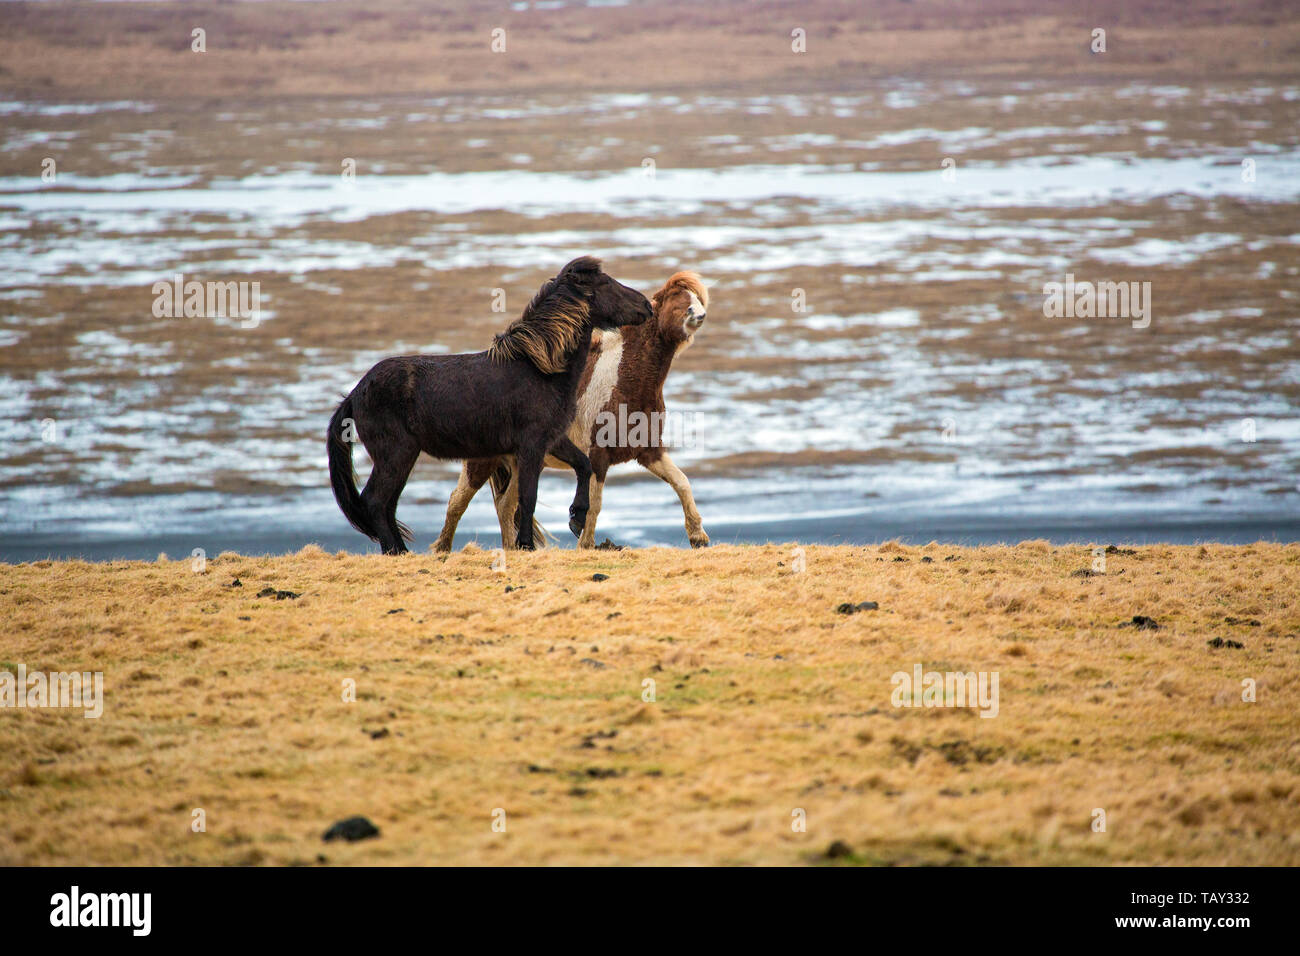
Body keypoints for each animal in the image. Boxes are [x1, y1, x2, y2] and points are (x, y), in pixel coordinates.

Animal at [325, 256, 650, 554]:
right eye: (605, 282)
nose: (646, 306)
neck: (540, 369)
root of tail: (356, 393)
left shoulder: (553, 440)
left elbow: (583, 466)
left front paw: (576, 519)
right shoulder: (531, 446)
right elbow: (528, 497)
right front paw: (525, 545)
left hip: (401, 458)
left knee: (386, 504)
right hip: (396, 455)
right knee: (376, 501)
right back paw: (397, 552)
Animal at [431, 273, 707, 548]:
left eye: (696, 298)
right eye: (675, 299)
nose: (699, 315)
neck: (625, 381)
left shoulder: (648, 451)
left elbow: (682, 483)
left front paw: (698, 537)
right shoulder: (598, 457)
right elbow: (595, 505)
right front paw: (584, 542)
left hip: (523, 461)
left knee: (505, 505)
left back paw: (512, 549)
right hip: (483, 460)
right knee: (458, 501)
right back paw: (443, 549)